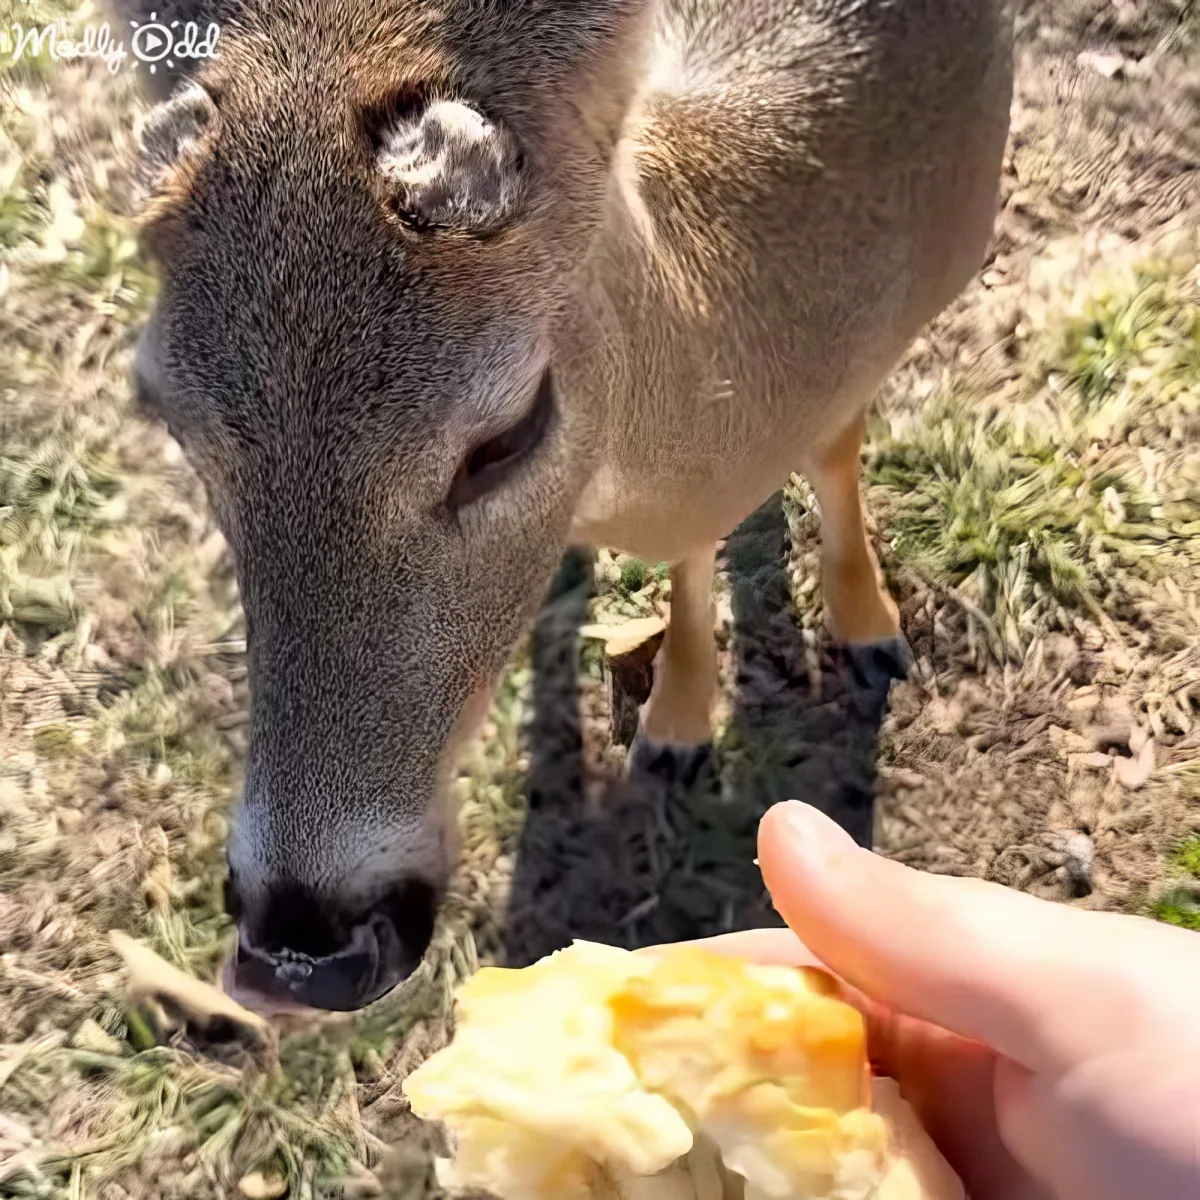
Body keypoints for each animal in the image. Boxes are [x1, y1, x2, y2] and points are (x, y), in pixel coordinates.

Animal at [114, 0, 1014, 1012]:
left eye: (507, 431)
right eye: (167, 412)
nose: (303, 949)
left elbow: (830, 457)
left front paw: (863, 629)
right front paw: (676, 723)